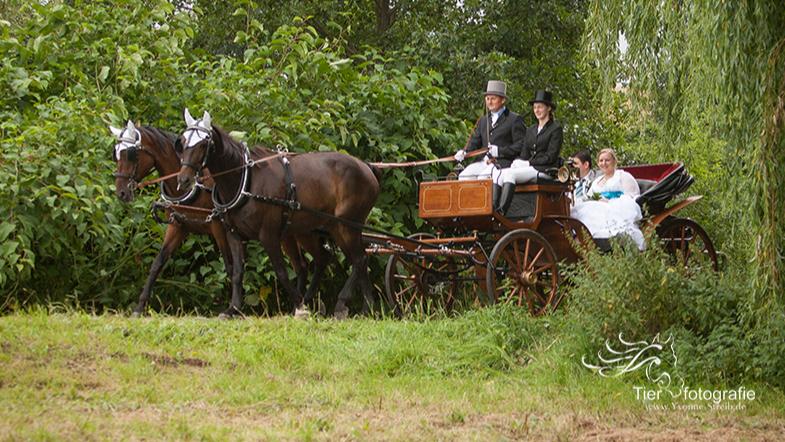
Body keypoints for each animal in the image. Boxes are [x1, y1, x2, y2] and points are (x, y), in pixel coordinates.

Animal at [110, 119, 324, 316]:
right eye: (116, 152)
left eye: (131, 154)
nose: (121, 193)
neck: (195, 187)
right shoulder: (178, 226)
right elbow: (158, 263)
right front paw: (139, 307)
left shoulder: (217, 226)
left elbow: (230, 267)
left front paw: (235, 307)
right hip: (288, 234)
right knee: (302, 266)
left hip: (305, 232)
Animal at [174, 109, 380, 318]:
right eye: (182, 142)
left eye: (203, 143)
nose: (183, 180)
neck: (245, 180)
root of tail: (366, 166)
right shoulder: (233, 234)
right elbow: (238, 273)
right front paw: (233, 308)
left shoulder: (269, 234)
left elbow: (281, 272)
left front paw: (299, 306)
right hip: (325, 229)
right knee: (342, 259)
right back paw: (367, 308)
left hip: (346, 225)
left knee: (359, 259)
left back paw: (343, 303)